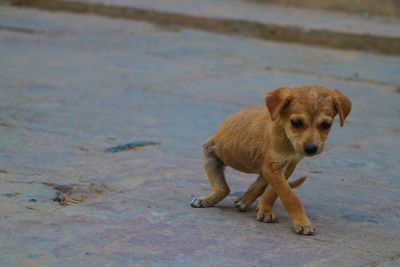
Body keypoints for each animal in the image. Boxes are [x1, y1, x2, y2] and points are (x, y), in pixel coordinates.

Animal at [192, 85, 352, 236]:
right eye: (296, 122)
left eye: (326, 125)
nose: (311, 149)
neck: (285, 135)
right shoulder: (273, 167)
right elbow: (289, 196)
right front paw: (303, 223)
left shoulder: (288, 166)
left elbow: (273, 192)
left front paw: (265, 210)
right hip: (209, 150)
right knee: (224, 188)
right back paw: (206, 200)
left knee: (255, 184)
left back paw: (245, 200)